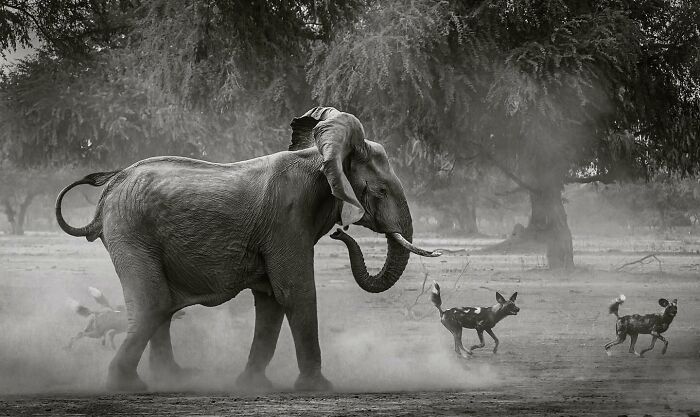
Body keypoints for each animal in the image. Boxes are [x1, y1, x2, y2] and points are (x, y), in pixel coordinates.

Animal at [55, 106, 442, 392]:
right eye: (380, 191)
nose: (341, 234)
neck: (322, 156)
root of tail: (110, 188)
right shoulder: (287, 220)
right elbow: (296, 292)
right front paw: (320, 388)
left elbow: (271, 300)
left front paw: (253, 386)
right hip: (131, 233)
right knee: (154, 304)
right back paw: (127, 386)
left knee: (159, 308)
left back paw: (174, 379)